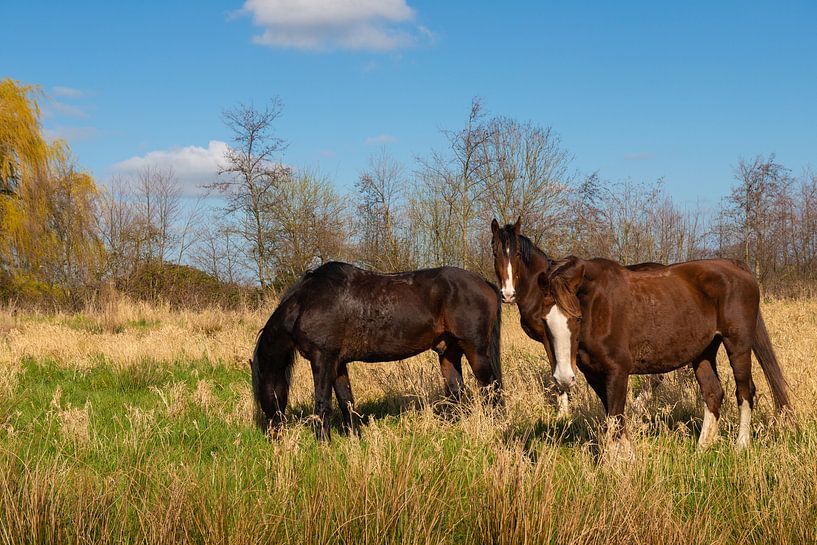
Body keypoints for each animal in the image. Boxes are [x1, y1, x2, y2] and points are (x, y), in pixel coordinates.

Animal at [250, 260, 504, 442]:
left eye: (261, 391)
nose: (272, 436)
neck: (306, 303)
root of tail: (487, 284)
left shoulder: (322, 358)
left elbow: (323, 402)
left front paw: (323, 444)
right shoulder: (338, 364)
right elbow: (346, 401)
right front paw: (355, 439)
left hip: (476, 351)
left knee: (492, 389)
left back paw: (496, 427)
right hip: (449, 352)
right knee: (456, 391)